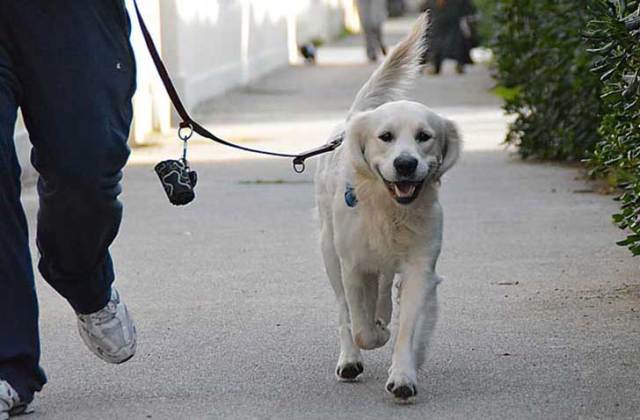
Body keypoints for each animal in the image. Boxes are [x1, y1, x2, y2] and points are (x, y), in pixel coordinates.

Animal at [316, 12, 460, 400]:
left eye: (424, 137)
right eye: (386, 137)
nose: (406, 164)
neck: (390, 209)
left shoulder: (420, 265)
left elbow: (408, 325)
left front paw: (405, 375)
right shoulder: (352, 264)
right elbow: (361, 325)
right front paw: (375, 334)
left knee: (382, 288)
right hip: (329, 251)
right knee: (344, 311)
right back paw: (350, 358)